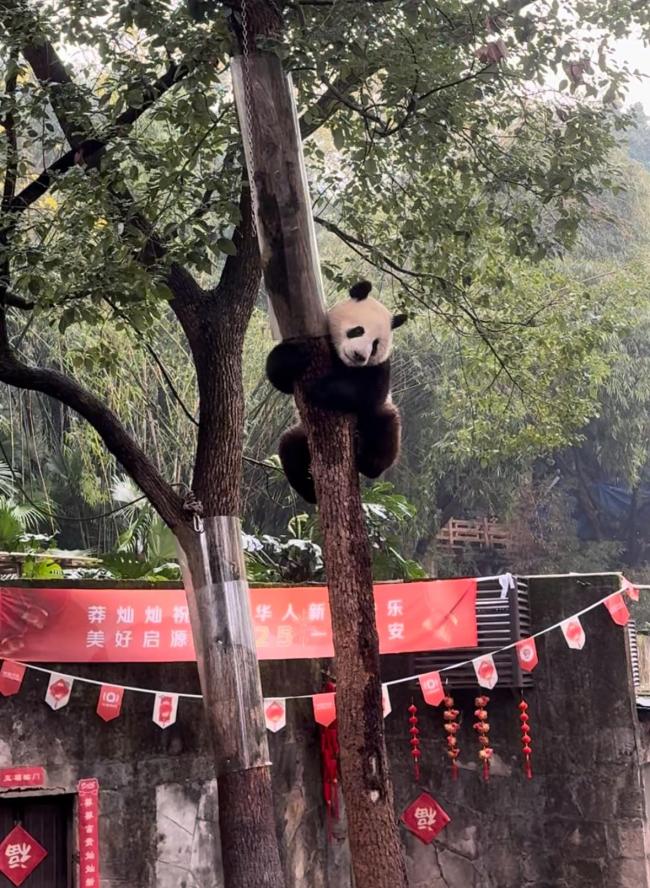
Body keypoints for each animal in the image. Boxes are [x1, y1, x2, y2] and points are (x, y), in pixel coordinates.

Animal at [264, 280, 404, 502]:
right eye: (357, 330)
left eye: (375, 345)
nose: (359, 355)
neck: (343, 360)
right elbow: (280, 379)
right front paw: (294, 357)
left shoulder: (380, 367)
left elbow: (369, 392)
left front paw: (319, 388)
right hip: (302, 434)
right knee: (289, 447)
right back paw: (310, 491)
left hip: (379, 420)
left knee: (386, 425)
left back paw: (365, 457)